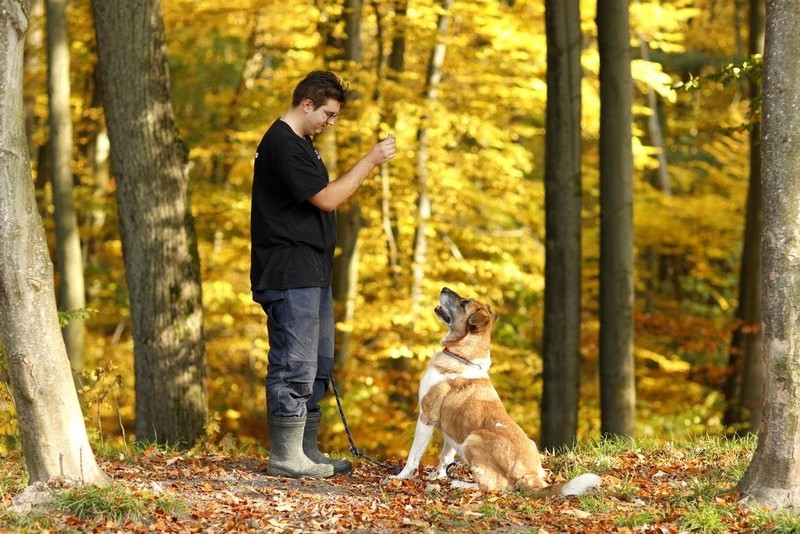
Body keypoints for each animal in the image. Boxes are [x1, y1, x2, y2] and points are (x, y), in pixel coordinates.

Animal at [396, 288, 600, 498]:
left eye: (464, 303)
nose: (444, 288)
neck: (463, 357)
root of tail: (529, 477)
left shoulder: (427, 417)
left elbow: (414, 455)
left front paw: (401, 476)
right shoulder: (450, 432)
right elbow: (445, 457)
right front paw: (438, 477)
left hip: (474, 437)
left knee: (492, 486)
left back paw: (460, 484)